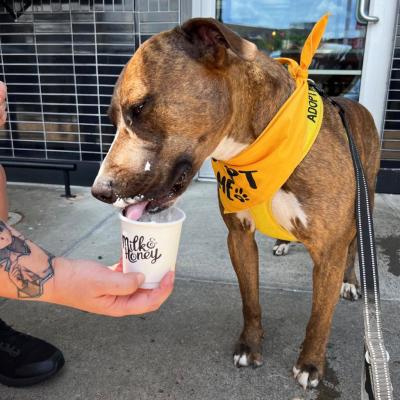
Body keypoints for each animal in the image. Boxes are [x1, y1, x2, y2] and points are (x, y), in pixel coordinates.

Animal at [92, 18, 380, 390]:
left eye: (139, 108)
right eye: (111, 120)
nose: (99, 190)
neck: (255, 148)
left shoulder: (329, 250)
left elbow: (320, 316)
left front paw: (310, 363)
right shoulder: (239, 237)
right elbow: (250, 300)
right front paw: (250, 345)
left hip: (365, 203)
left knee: (355, 246)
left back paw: (350, 281)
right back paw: (283, 243)